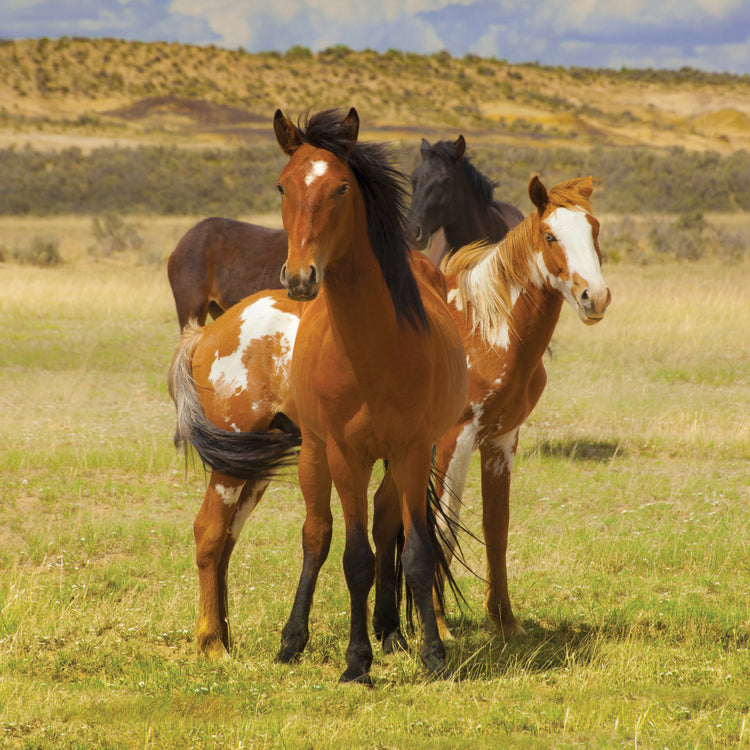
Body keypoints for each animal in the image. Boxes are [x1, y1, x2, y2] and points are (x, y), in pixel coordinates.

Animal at [372, 174, 611, 647]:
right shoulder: (453, 441)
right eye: (550, 236)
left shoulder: (501, 439)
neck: (482, 330)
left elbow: (496, 526)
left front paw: (503, 619)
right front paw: (439, 623)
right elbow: (442, 528)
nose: (594, 297)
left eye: (593, 229)